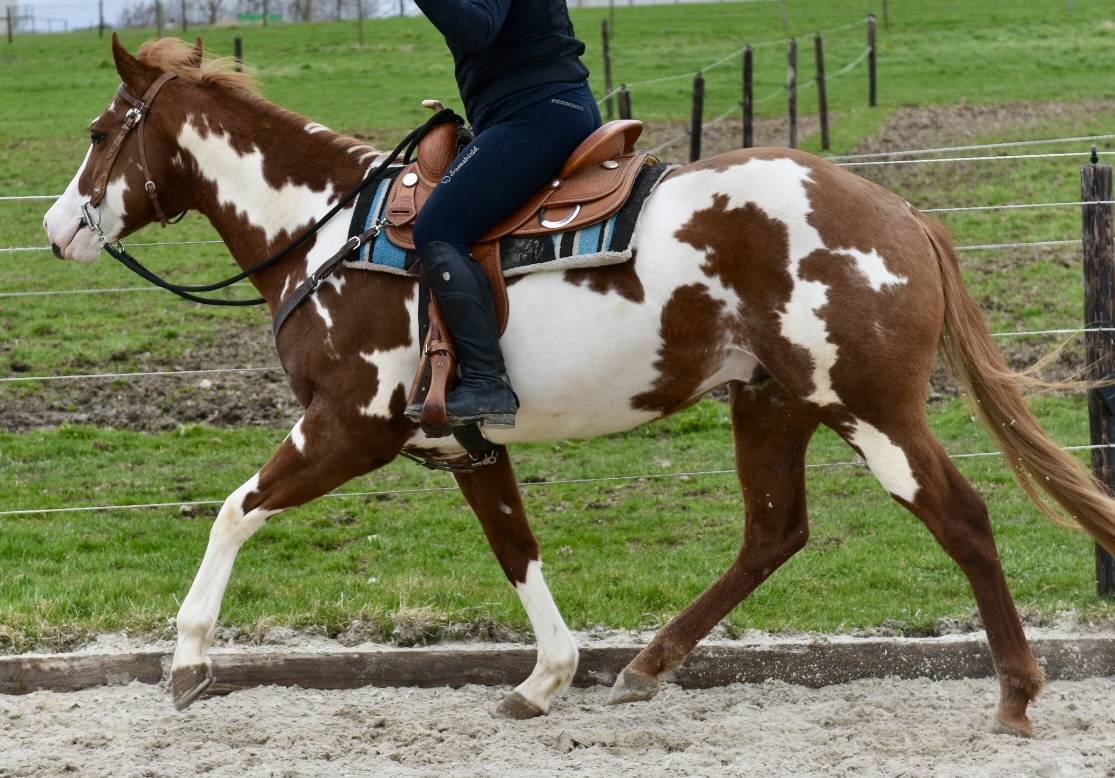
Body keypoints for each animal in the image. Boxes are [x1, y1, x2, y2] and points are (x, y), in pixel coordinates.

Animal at [43, 36, 1115, 735]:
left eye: (99, 131)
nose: (56, 230)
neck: (333, 233)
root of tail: (897, 210)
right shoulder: (463, 445)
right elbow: (516, 550)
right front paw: (547, 677)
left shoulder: (349, 427)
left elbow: (235, 511)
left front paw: (189, 661)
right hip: (771, 403)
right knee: (773, 533)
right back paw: (645, 665)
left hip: (870, 409)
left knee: (960, 516)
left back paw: (1015, 694)